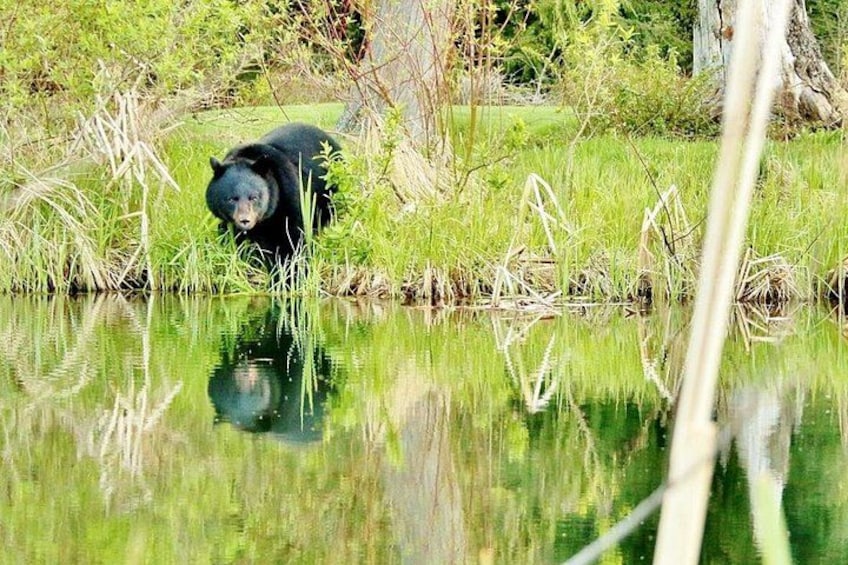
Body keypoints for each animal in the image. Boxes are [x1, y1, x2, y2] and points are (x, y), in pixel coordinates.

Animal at [205, 122, 342, 264]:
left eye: (254, 197)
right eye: (231, 199)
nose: (245, 220)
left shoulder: (290, 198)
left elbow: (292, 240)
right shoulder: (229, 221)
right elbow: (229, 236)